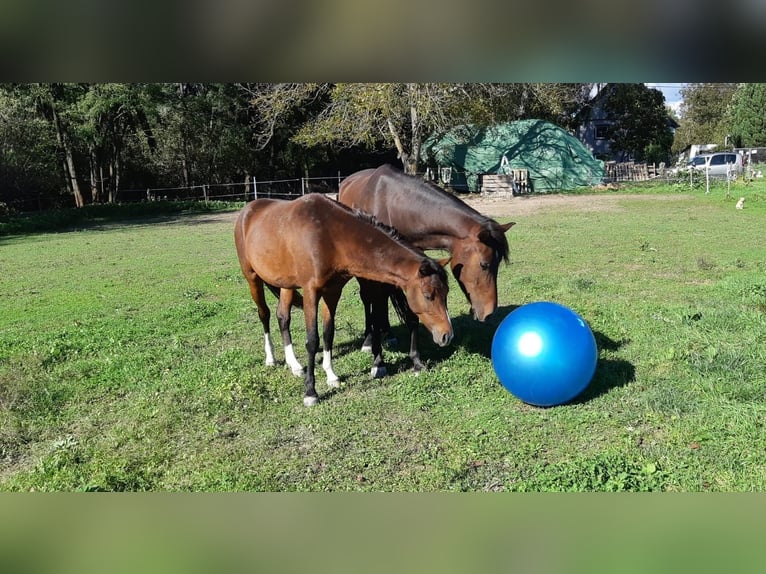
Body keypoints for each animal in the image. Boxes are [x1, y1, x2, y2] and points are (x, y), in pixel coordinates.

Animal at [234, 193, 453, 406]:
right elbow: (312, 340)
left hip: (286, 284)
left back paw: (294, 365)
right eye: (428, 295)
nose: (447, 335)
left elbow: (328, 333)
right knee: (264, 314)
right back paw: (271, 358)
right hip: (252, 278)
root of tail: (247, 211)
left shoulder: (332, 292)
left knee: (283, 317)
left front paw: (331, 376)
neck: (329, 235)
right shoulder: (311, 292)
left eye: (446, 293)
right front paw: (311, 392)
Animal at [338, 164, 515, 373]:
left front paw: (416, 360)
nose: (489, 312)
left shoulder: (414, 270)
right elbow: (377, 308)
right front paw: (378, 362)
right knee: (368, 300)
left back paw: (389, 334)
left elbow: (413, 313)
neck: (393, 205)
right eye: (484, 264)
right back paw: (368, 339)